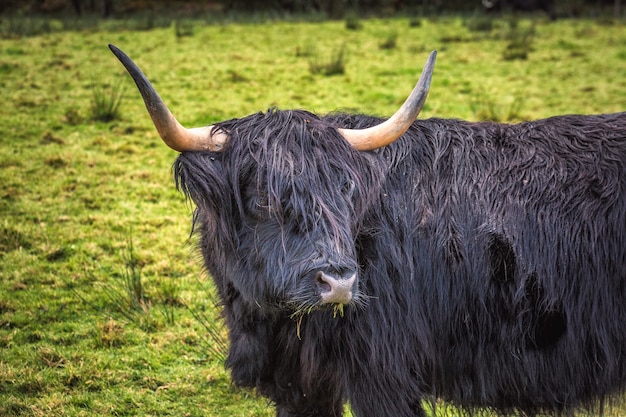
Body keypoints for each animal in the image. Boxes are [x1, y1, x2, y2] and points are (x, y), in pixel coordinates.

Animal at [108, 44, 624, 414]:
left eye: (344, 191)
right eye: (263, 198)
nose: (338, 282)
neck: (273, 325)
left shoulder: (384, 376)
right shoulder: (301, 386)